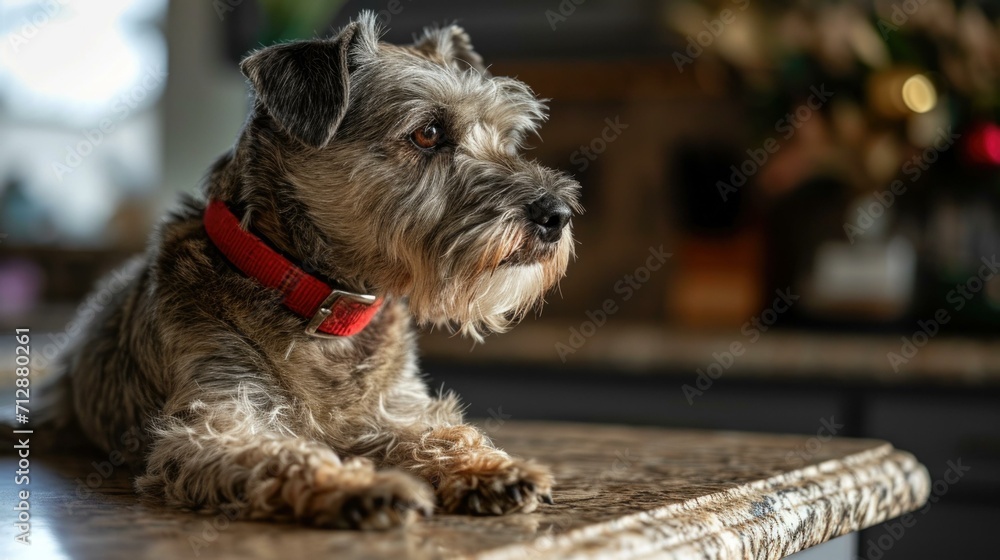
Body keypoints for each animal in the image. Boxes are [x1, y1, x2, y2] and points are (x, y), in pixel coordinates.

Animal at [50, 13, 584, 528]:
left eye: (508, 138)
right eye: (428, 133)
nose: (556, 214)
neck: (324, 305)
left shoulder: (397, 409)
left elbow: (442, 432)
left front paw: (487, 468)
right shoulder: (218, 422)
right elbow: (288, 455)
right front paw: (361, 487)